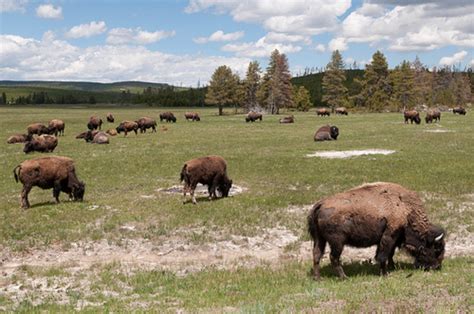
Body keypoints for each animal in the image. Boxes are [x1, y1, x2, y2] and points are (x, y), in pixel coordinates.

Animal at [308, 182, 444, 280]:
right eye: (436, 249)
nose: (437, 267)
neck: (406, 209)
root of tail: (320, 204)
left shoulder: (391, 239)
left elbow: (389, 254)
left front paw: (392, 267)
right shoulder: (389, 236)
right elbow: (383, 255)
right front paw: (385, 274)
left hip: (319, 239)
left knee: (317, 254)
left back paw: (317, 278)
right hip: (337, 243)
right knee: (333, 257)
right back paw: (344, 277)